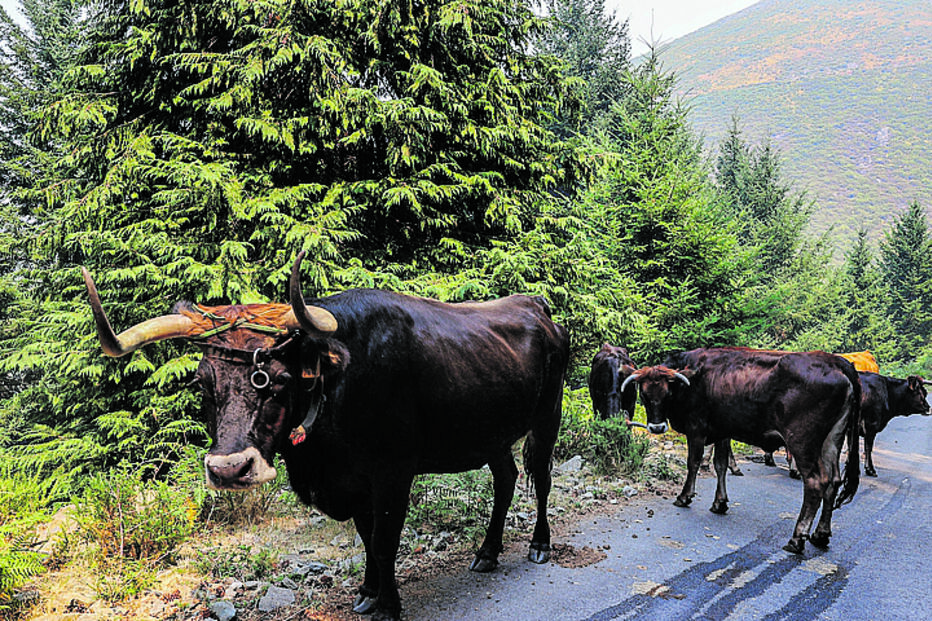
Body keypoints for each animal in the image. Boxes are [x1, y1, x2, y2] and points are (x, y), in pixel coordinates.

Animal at [83, 252, 569, 621]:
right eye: (203, 381)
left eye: (278, 379)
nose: (229, 469)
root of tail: (535, 306)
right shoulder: (354, 484)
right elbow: (367, 537)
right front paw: (368, 593)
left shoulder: (393, 474)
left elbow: (384, 540)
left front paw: (388, 606)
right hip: (492, 435)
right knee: (505, 480)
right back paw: (487, 552)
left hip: (548, 417)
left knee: (541, 479)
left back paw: (539, 545)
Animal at [621, 347, 861, 554]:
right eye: (644, 394)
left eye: (667, 393)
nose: (656, 427)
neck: (695, 378)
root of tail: (835, 361)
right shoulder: (723, 431)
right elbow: (720, 465)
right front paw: (720, 502)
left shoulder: (696, 428)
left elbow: (693, 462)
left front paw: (684, 496)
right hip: (832, 440)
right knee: (834, 481)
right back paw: (821, 534)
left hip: (802, 441)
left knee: (815, 482)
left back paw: (797, 537)